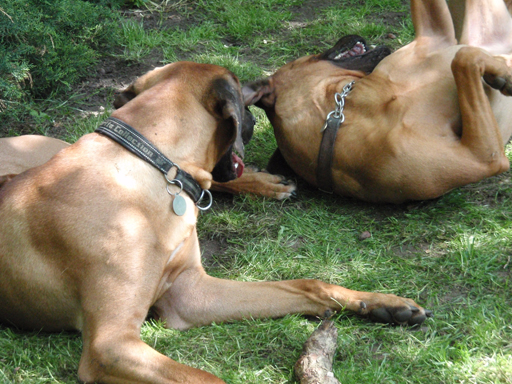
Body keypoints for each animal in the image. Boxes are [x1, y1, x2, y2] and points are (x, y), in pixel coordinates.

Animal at [0, 61, 432, 382]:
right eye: (242, 91)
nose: (262, 86)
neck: (156, 167)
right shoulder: (111, 346)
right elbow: (209, 378)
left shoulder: (190, 293)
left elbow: (306, 284)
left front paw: (382, 303)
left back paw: (267, 183)